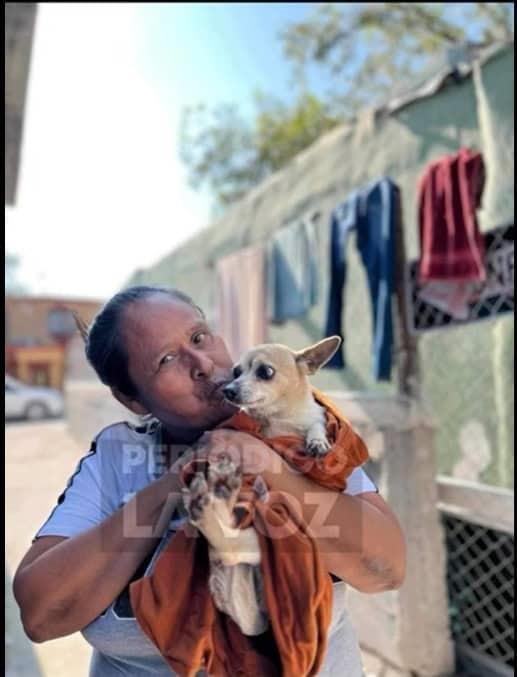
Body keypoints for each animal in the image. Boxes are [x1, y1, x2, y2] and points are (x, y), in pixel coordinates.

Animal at [182, 336, 342, 636]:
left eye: (265, 371)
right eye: (236, 371)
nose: (228, 390)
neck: (279, 419)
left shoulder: (315, 419)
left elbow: (316, 423)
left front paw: (317, 441)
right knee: (229, 546)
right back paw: (216, 497)